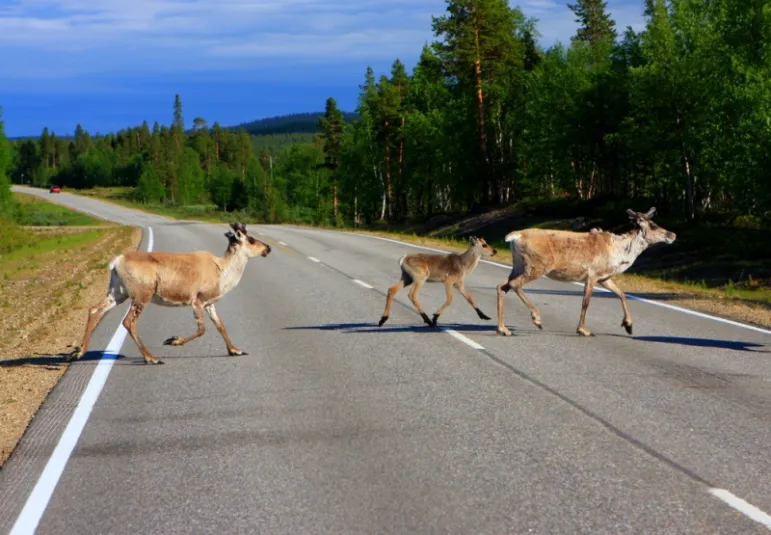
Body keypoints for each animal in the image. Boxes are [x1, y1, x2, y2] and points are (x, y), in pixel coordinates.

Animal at [69, 222, 272, 364]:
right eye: (251, 239)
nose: (268, 248)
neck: (223, 272)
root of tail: (116, 261)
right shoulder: (197, 300)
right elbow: (202, 329)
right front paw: (172, 340)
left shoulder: (209, 302)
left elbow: (220, 325)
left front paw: (235, 350)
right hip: (142, 294)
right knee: (128, 321)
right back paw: (151, 358)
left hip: (117, 292)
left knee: (94, 309)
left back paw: (79, 352)